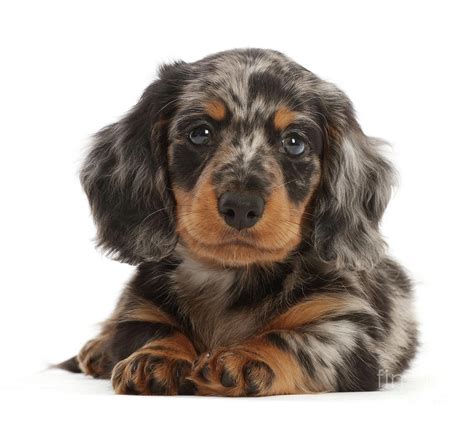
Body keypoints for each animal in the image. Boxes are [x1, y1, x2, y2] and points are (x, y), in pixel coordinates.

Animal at [59, 49, 418, 398]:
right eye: (200, 133)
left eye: (294, 142)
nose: (242, 206)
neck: (229, 276)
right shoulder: (140, 309)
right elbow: (153, 329)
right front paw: (157, 356)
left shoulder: (344, 326)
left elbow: (287, 338)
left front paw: (245, 357)